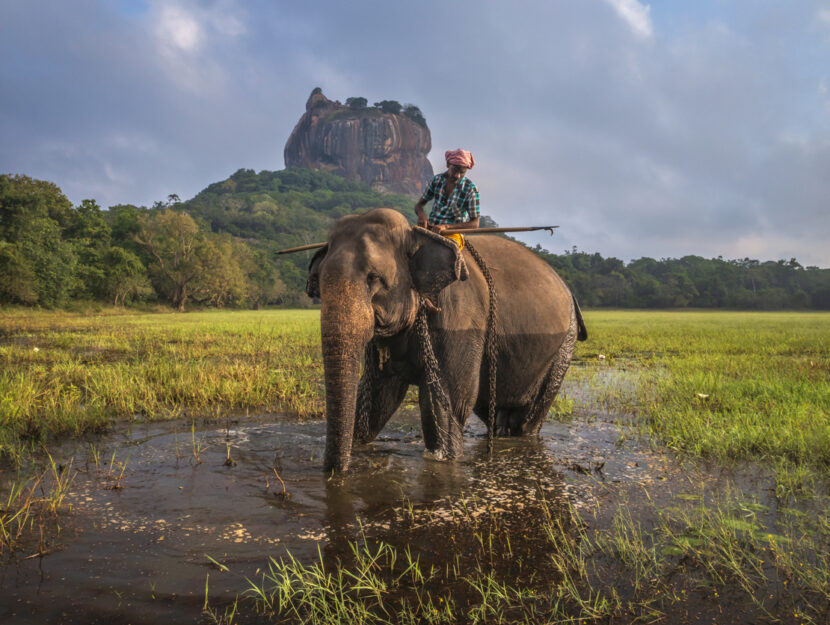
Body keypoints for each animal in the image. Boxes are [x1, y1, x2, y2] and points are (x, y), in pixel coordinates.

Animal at [308, 207, 588, 470]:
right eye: (318, 282)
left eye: (374, 278)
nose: (336, 473)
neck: (416, 236)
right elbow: (380, 398)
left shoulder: (459, 320)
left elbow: (447, 403)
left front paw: (444, 458)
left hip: (564, 345)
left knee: (525, 419)